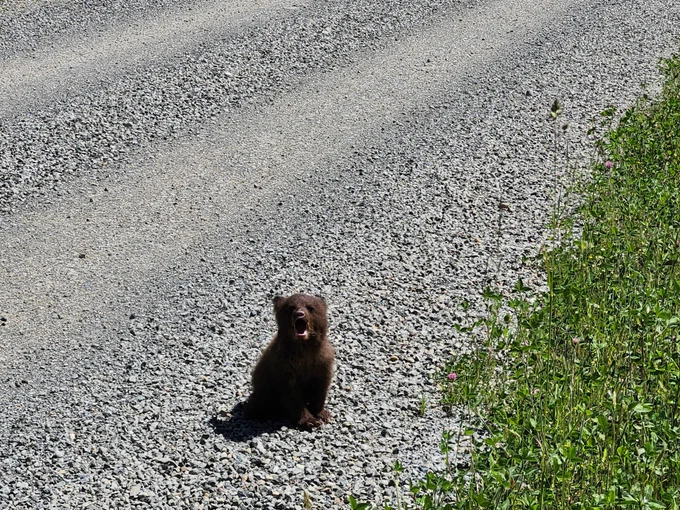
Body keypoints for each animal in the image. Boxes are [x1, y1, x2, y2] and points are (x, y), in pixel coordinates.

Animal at [244, 293, 334, 430]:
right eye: (291, 307)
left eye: (310, 307)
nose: (300, 314)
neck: (303, 350)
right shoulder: (284, 365)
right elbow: (292, 394)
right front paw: (310, 421)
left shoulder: (322, 362)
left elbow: (320, 389)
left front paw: (323, 414)